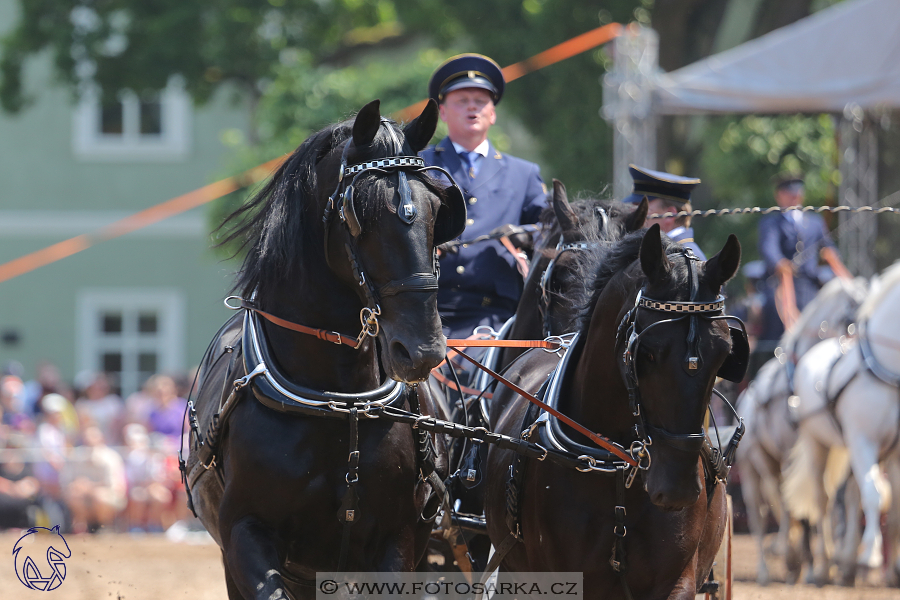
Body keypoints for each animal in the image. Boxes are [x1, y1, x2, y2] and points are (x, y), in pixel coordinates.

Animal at [182, 101, 464, 596]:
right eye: (359, 213)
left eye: (437, 209)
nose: (423, 350)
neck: (340, 401)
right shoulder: (244, 534)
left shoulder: (401, 538)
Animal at [736, 274, 868, 584]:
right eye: (853, 315)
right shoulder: (797, 452)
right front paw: (809, 563)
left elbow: (834, 501)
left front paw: (829, 561)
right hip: (755, 467)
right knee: (762, 515)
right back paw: (771, 566)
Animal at [784, 262, 900, 584]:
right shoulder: (863, 440)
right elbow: (874, 496)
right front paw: (870, 555)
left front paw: (892, 569)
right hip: (818, 444)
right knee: (824, 500)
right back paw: (824, 566)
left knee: (850, 495)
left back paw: (847, 564)